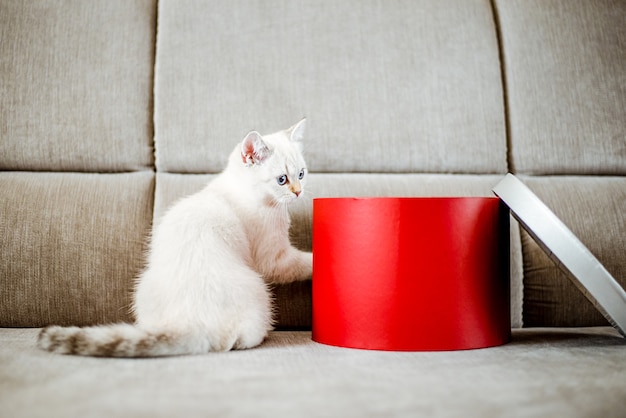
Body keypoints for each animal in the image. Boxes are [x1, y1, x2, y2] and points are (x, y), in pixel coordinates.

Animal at [37, 119, 310, 358]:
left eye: (302, 174)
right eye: (282, 179)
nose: (299, 192)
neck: (245, 192)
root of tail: (191, 323)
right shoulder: (272, 259)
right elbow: (300, 263)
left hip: (142, 287)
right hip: (259, 290)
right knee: (234, 340)